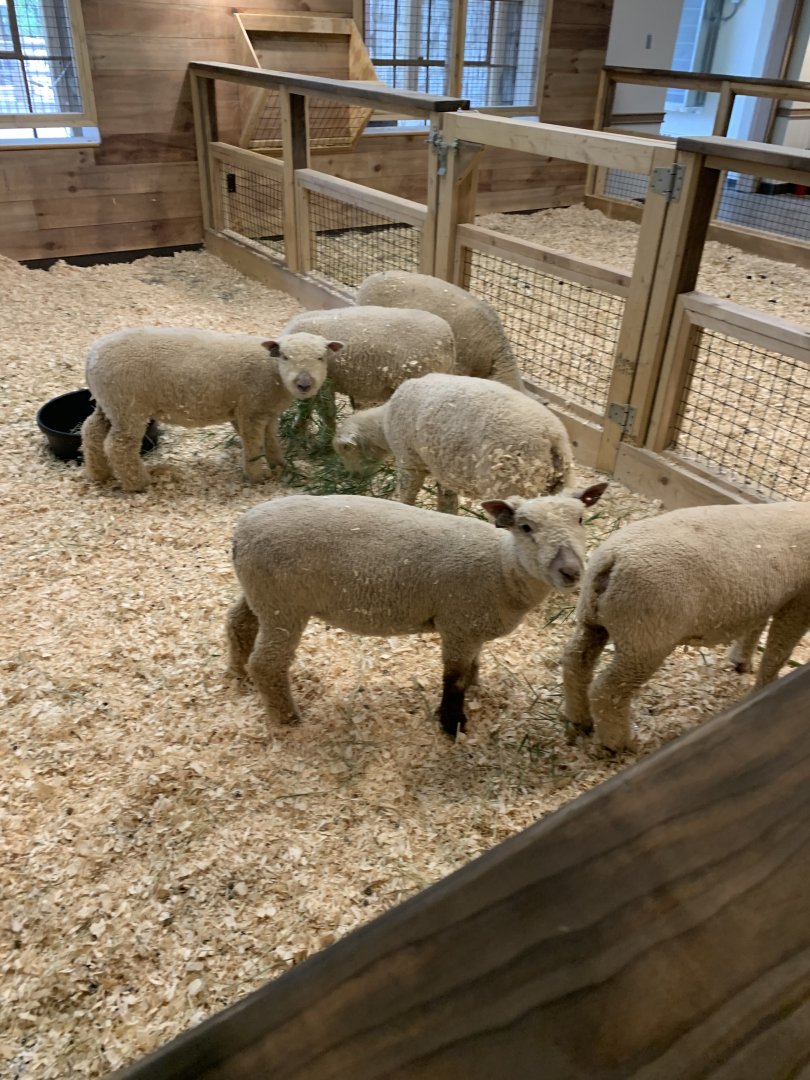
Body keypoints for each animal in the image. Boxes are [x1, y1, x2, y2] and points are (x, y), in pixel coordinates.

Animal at [81, 327, 338, 491]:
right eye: (284, 356)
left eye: (321, 357)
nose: (304, 384)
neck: (272, 373)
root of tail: (91, 356)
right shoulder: (250, 411)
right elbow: (254, 444)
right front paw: (258, 475)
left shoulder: (265, 412)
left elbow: (271, 441)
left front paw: (280, 465)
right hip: (129, 406)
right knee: (119, 446)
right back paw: (139, 483)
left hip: (110, 404)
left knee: (91, 431)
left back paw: (100, 473)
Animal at [226, 483, 607, 738]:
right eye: (525, 527)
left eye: (581, 519)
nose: (571, 571)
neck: (502, 568)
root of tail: (239, 532)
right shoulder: (458, 625)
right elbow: (453, 678)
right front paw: (451, 723)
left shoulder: (472, 627)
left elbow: (472, 667)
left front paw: (475, 689)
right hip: (284, 606)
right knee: (267, 663)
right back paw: (288, 718)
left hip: (261, 594)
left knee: (237, 622)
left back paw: (238, 674)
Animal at [332, 373, 576, 514]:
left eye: (346, 451)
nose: (353, 477)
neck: (383, 424)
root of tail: (552, 437)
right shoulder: (445, 470)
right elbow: (447, 500)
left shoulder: (410, 461)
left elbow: (407, 494)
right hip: (557, 483)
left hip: (512, 482)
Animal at [561, 500, 810, 753]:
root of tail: (613, 559)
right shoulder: (800, 602)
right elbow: (777, 654)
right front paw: (765, 691)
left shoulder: (766, 599)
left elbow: (755, 629)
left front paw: (742, 662)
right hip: (644, 640)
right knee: (607, 691)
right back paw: (618, 744)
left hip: (592, 619)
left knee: (576, 662)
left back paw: (580, 719)